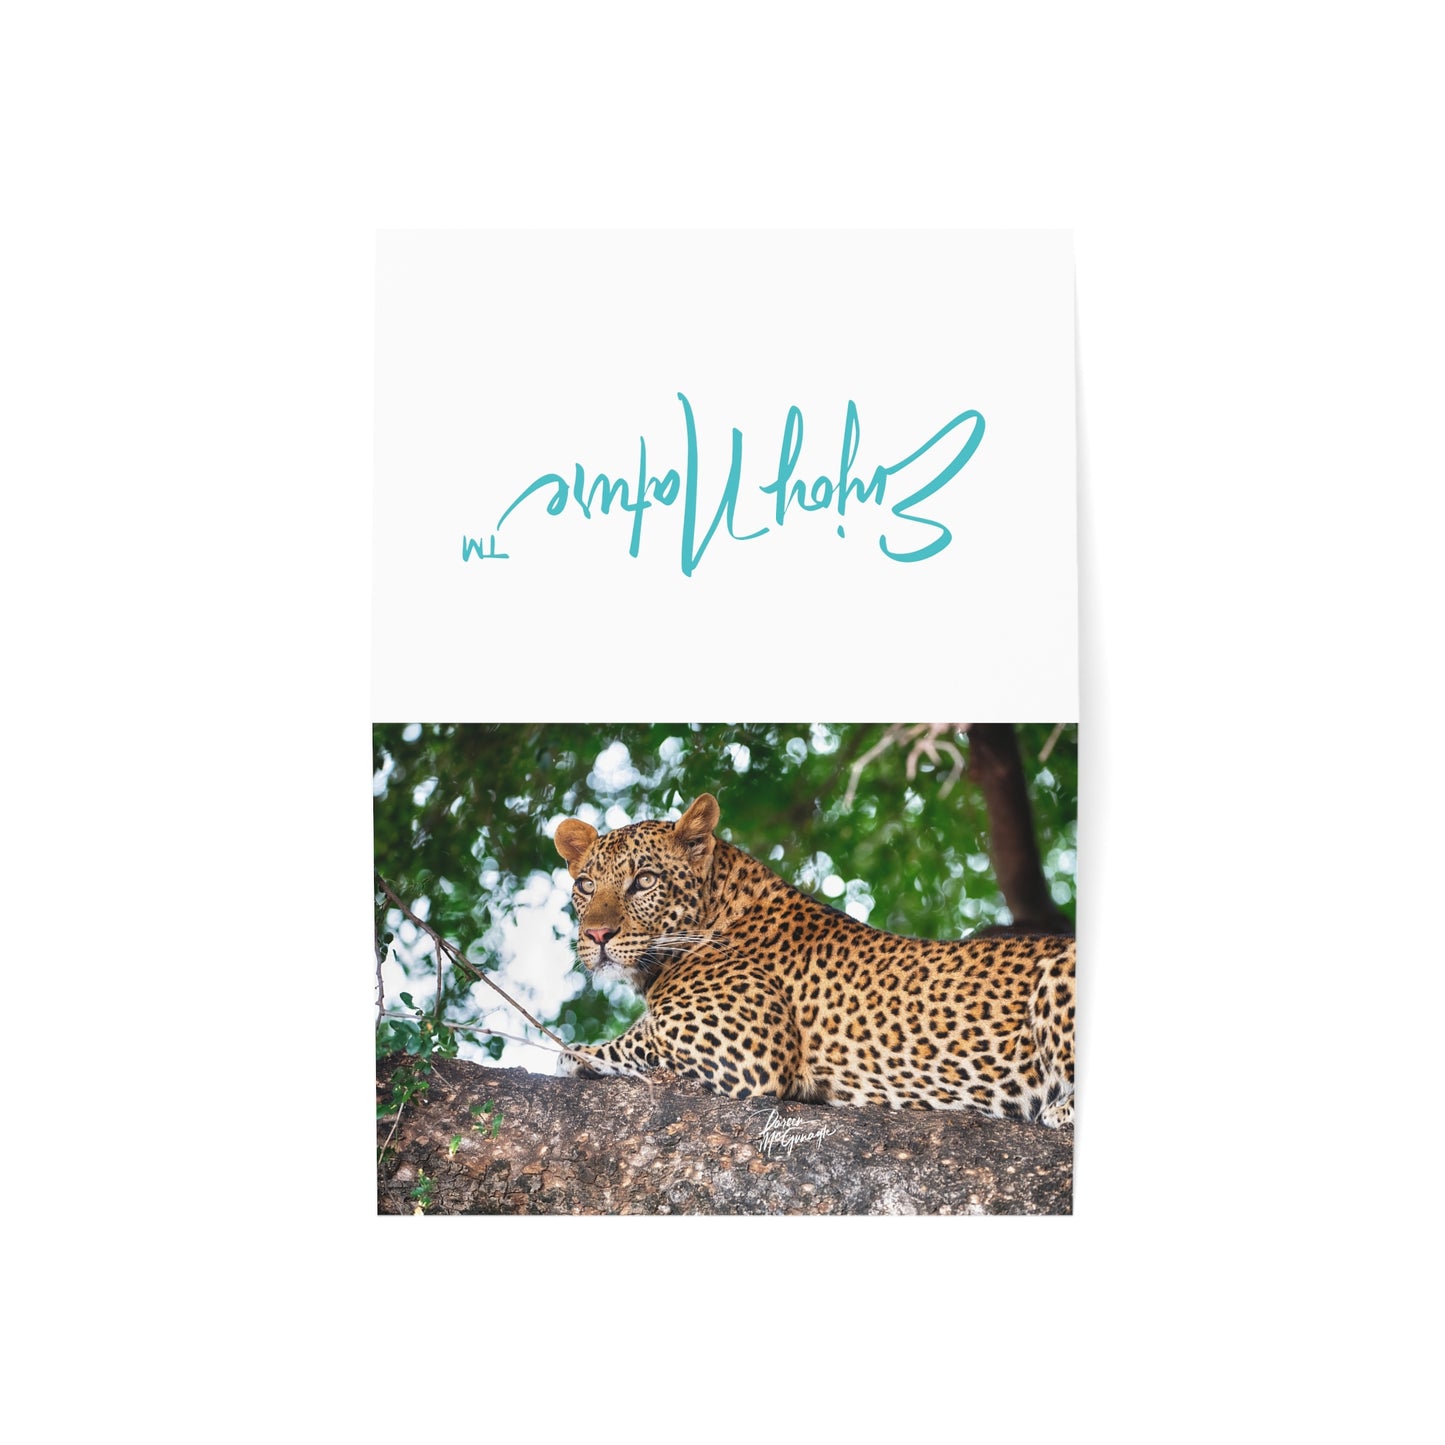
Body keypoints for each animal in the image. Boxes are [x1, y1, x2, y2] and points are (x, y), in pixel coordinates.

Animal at [552, 793, 1075, 1127]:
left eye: (644, 881)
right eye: (585, 886)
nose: (597, 935)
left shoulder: (742, 1048)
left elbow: (629, 1041)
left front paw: (575, 1054)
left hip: (1059, 975)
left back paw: (1059, 1109)